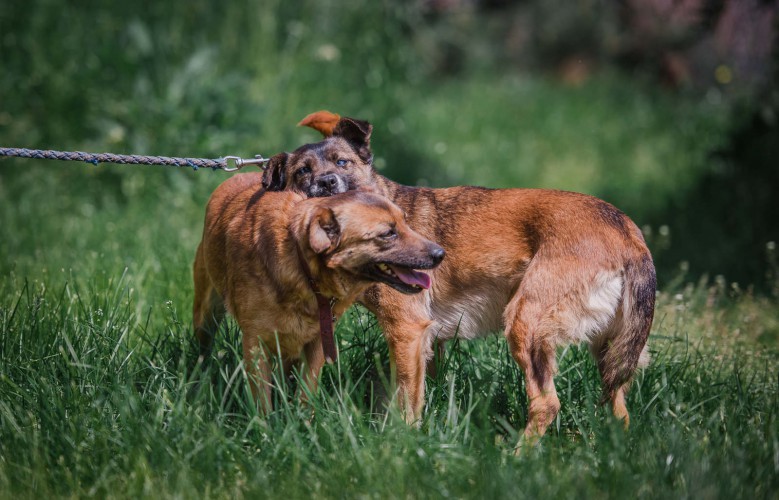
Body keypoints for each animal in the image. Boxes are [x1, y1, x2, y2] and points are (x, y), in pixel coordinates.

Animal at [192, 173, 444, 414]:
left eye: (406, 222)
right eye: (388, 234)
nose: (440, 254)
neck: (303, 269)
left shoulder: (318, 342)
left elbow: (305, 394)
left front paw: (301, 422)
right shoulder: (256, 343)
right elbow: (262, 403)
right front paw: (265, 426)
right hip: (206, 315)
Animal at [262, 110, 660, 442]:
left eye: (342, 163)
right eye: (302, 173)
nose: (326, 184)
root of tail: (627, 233)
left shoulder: (407, 328)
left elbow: (406, 402)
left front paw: (403, 445)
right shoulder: (427, 340)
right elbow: (414, 391)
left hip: (525, 323)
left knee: (547, 404)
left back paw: (515, 457)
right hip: (610, 348)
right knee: (618, 408)